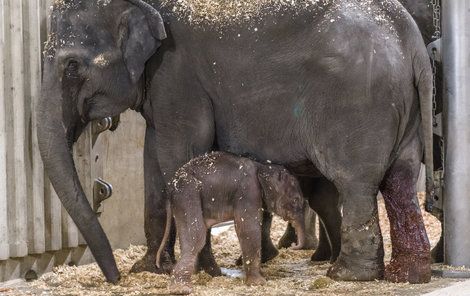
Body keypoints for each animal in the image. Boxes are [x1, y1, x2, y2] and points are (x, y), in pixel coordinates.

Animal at [156, 153, 306, 294]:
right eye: (296, 200)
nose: (293, 246)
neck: (262, 167)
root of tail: (170, 188)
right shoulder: (248, 193)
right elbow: (248, 229)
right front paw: (259, 283)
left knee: (202, 232)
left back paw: (213, 275)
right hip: (188, 194)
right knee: (197, 236)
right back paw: (181, 289)